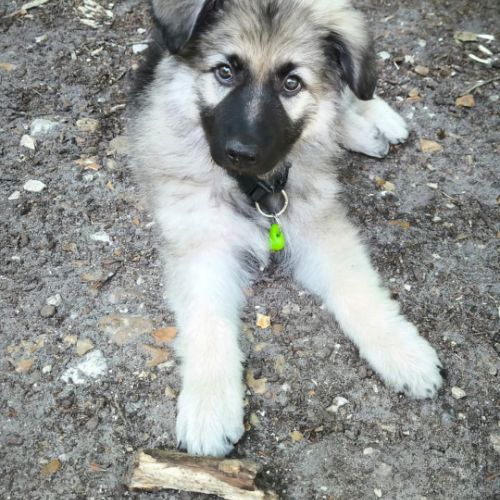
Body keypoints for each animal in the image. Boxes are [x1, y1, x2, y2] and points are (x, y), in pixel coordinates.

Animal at [129, 0, 444, 457]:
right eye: (225, 72)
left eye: (292, 84)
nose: (241, 153)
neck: (254, 187)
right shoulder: (202, 245)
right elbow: (207, 320)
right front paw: (209, 406)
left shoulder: (319, 226)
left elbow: (358, 289)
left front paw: (403, 350)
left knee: (351, 91)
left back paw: (375, 122)